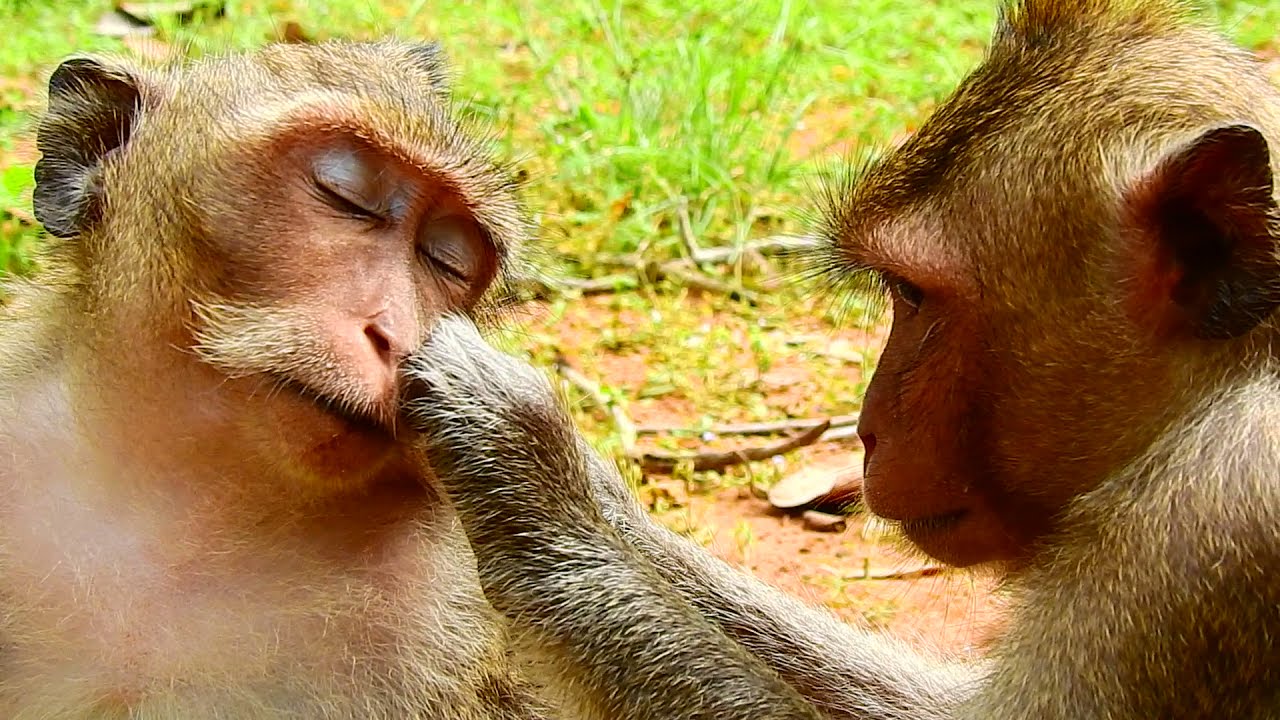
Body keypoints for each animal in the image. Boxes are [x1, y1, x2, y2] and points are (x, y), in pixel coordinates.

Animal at [400, 1, 1280, 718]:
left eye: (913, 295)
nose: (867, 428)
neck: (1222, 384)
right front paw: (590, 486)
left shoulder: (1198, 534)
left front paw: (522, 459)